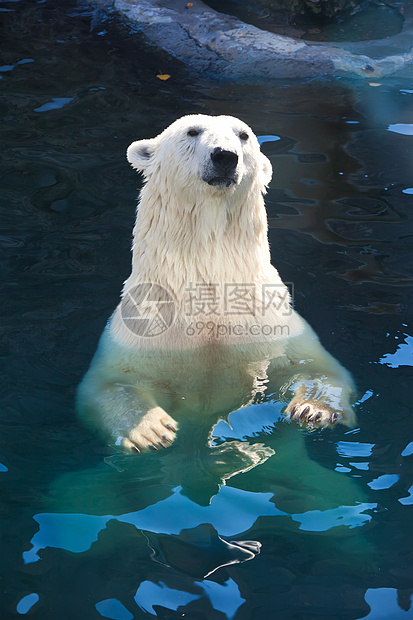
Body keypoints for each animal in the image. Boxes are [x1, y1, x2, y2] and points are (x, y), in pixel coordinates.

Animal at [76, 115, 354, 450]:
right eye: (192, 131)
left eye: (243, 135)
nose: (225, 156)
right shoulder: (141, 331)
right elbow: (110, 383)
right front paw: (150, 430)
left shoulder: (273, 326)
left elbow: (316, 366)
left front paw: (313, 410)